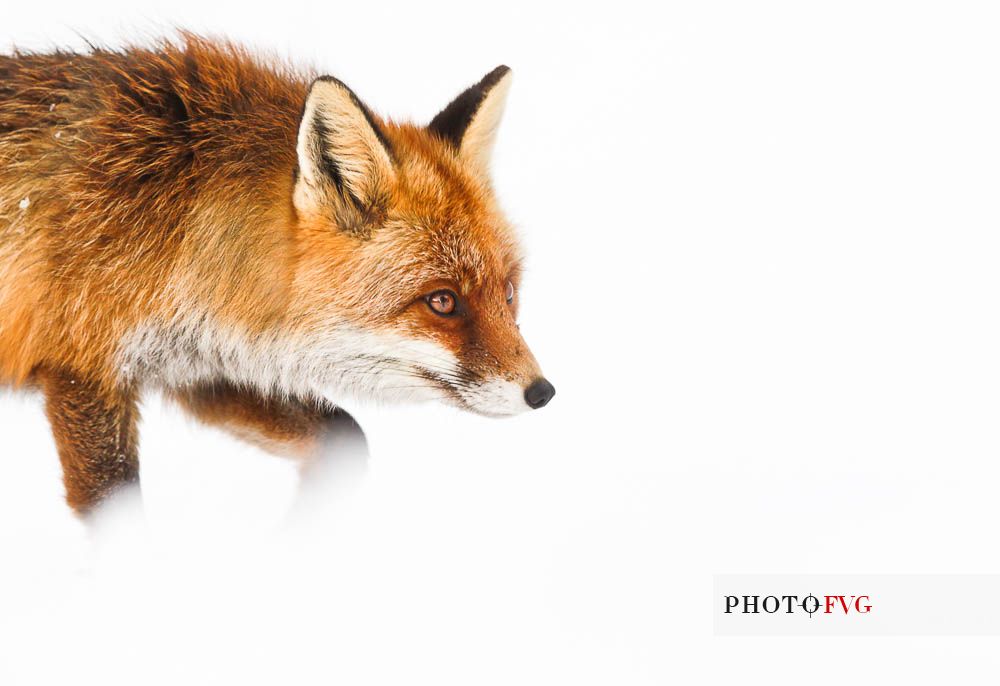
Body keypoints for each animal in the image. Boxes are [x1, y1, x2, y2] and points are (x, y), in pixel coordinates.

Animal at [0, 35, 556, 512]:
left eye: (509, 292)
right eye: (442, 301)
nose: (542, 392)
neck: (175, 220)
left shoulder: (196, 368)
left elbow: (344, 438)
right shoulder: (83, 370)